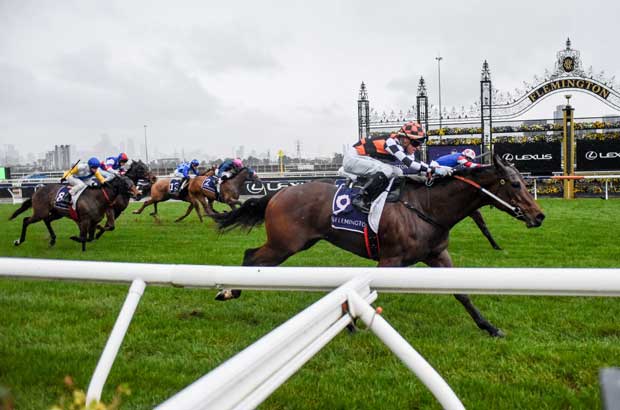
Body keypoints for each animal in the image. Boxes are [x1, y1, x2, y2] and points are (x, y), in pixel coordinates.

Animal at [10, 175, 139, 251]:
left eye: (132, 182)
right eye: (126, 184)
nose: (137, 193)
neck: (98, 198)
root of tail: (37, 191)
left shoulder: (93, 221)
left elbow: (90, 237)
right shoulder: (85, 220)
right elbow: (84, 236)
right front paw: (75, 238)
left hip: (57, 213)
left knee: (47, 220)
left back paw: (52, 240)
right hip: (40, 212)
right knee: (26, 220)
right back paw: (19, 241)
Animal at [212, 155, 544, 338]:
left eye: (525, 182)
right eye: (515, 184)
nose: (539, 216)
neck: (427, 206)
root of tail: (278, 194)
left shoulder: (437, 255)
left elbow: (462, 293)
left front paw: (490, 327)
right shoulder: (390, 261)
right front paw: (349, 325)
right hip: (285, 244)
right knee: (251, 256)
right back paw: (229, 291)